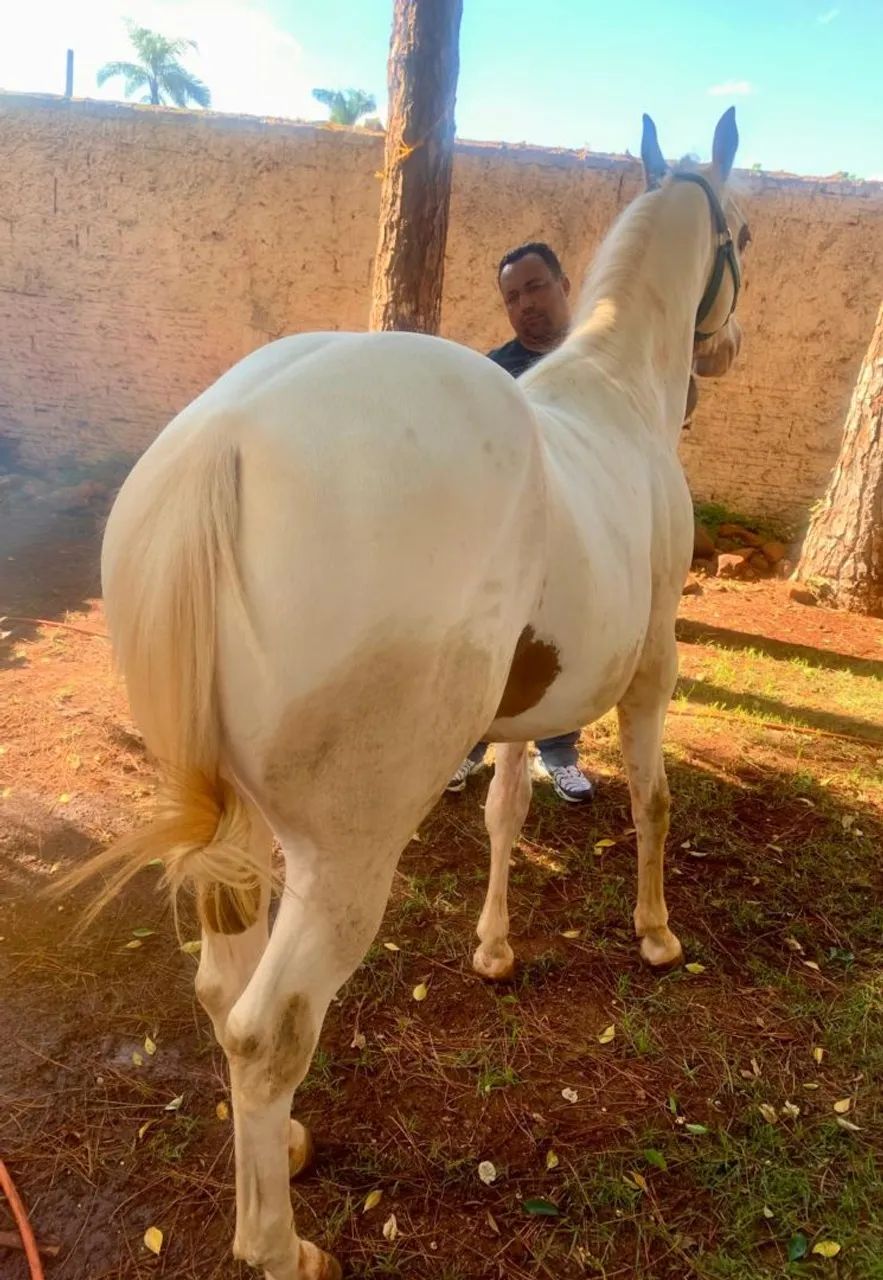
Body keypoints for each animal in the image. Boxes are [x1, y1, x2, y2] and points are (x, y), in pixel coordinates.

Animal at [72, 109, 750, 1279]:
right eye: (739, 235)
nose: (724, 350)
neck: (616, 392)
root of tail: (221, 438)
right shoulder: (652, 669)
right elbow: (654, 800)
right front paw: (657, 933)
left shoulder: (523, 708)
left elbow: (505, 808)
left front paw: (493, 947)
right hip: (345, 854)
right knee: (267, 1029)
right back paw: (278, 1245)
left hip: (243, 829)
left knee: (222, 991)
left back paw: (286, 1148)